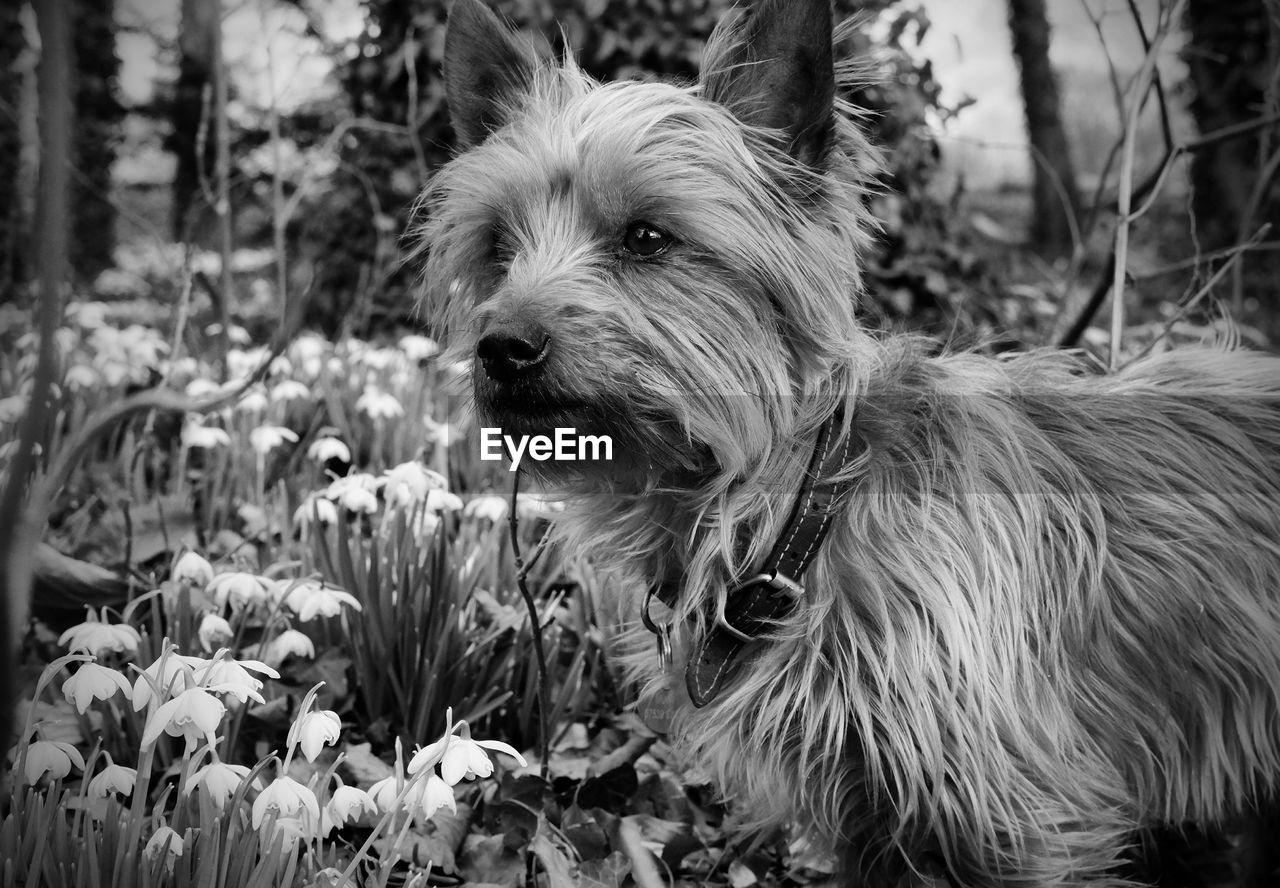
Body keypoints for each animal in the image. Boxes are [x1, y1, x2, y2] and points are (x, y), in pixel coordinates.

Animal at [419, 3, 1280, 885]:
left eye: (647, 238)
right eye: (499, 245)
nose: (502, 346)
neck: (803, 508)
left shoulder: (1024, 821)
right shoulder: (868, 818)